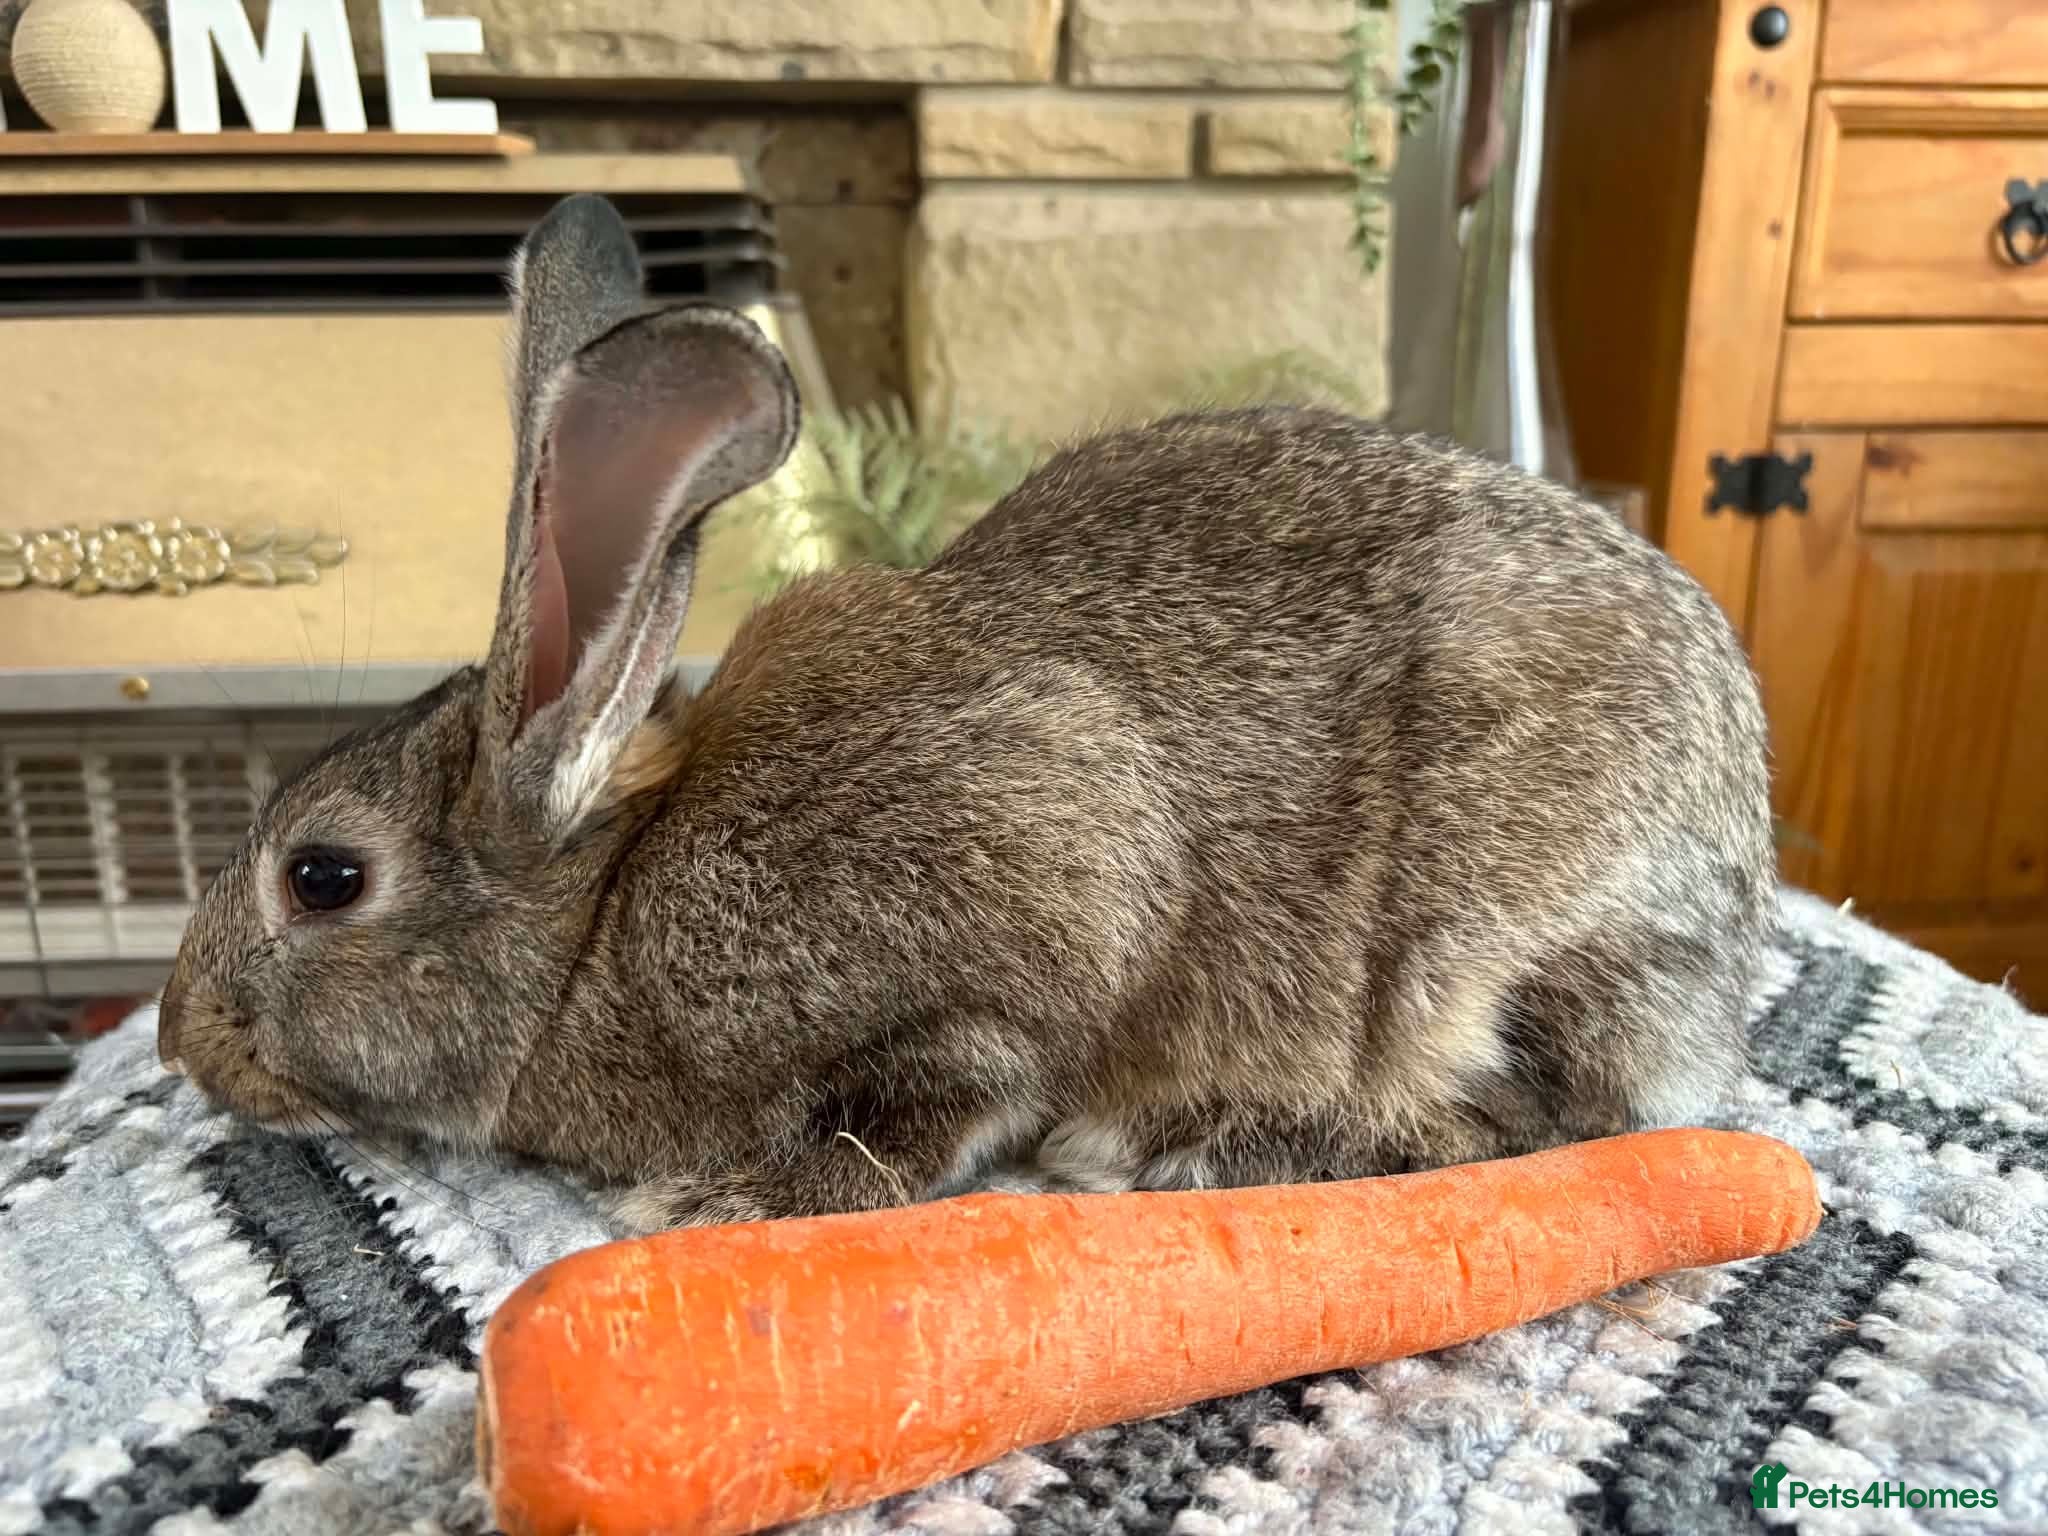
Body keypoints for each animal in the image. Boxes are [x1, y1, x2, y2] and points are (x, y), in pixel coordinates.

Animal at [157, 192, 1776, 1234]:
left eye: (322, 877)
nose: (180, 1047)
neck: (598, 917)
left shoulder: (1024, 902)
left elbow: (952, 1095)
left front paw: (736, 1191)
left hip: (1496, 948)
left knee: (1545, 1124)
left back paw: (1194, 1145)